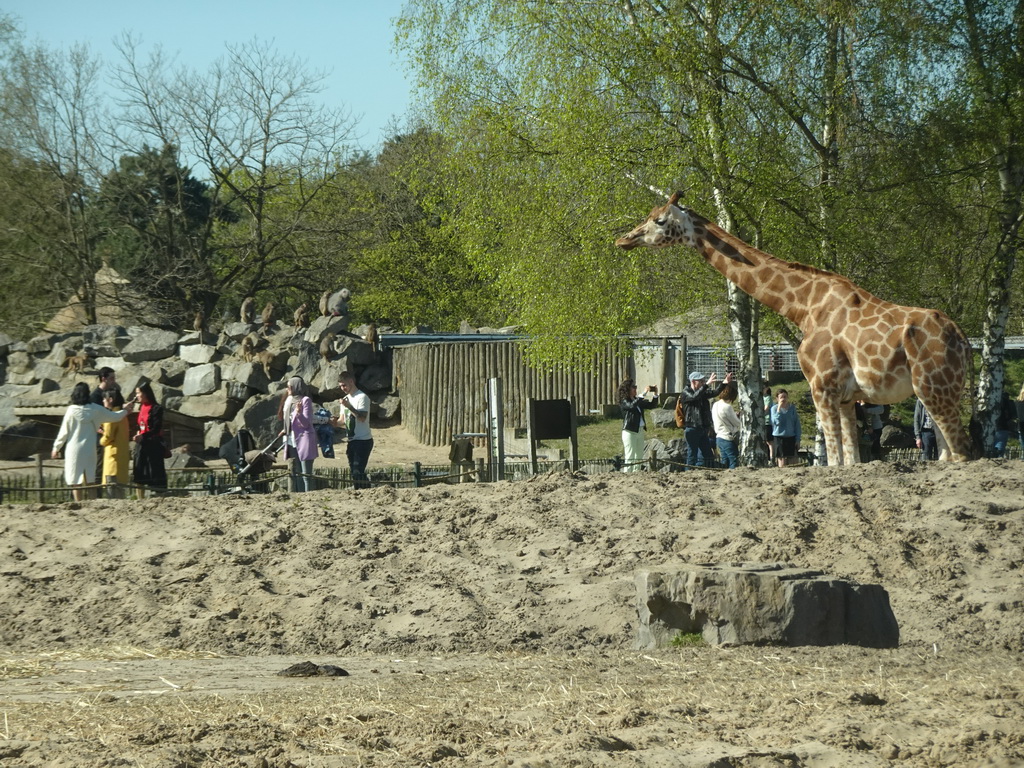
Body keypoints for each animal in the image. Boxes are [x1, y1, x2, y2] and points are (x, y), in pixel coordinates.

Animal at [610, 193, 970, 468]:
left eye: (659, 220)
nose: (624, 239)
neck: (803, 308)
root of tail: (963, 340)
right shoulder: (845, 397)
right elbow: (850, 460)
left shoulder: (822, 386)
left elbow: (833, 460)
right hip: (937, 392)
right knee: (949, 455)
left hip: (934, 388)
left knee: (962, 453)